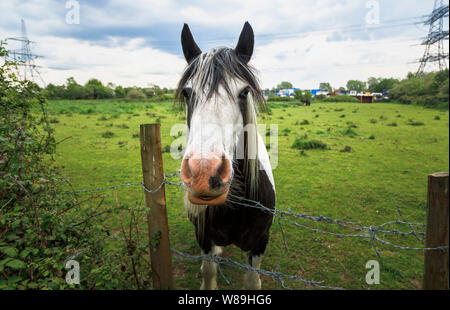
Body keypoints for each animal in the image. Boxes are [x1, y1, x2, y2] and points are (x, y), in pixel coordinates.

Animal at [177, 22, 276, 290]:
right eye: (187, 93)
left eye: (244, 92)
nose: (204, 173)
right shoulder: (204, 237)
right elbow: (209, 272)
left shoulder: (260, 243)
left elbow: (252, 281)